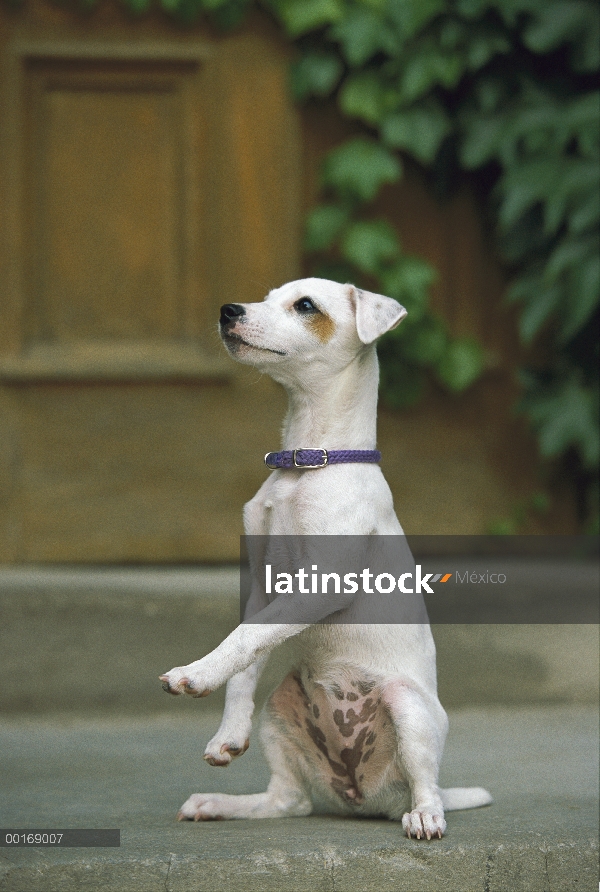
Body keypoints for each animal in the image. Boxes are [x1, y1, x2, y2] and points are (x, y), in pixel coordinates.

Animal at [159, 278, 492, 836]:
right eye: (267, 297)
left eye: (306, 306)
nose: (228, 310)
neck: (308, 462)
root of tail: (364, 797)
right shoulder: (264, 587)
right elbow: (247, 657)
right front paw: (227, 734)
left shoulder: (319, 586)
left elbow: (245, 638)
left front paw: (195, 674)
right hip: (281, 709)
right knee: (288, 801)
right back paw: (220, 803)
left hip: (407, 706)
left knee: (425, 784)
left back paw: (426, 816)